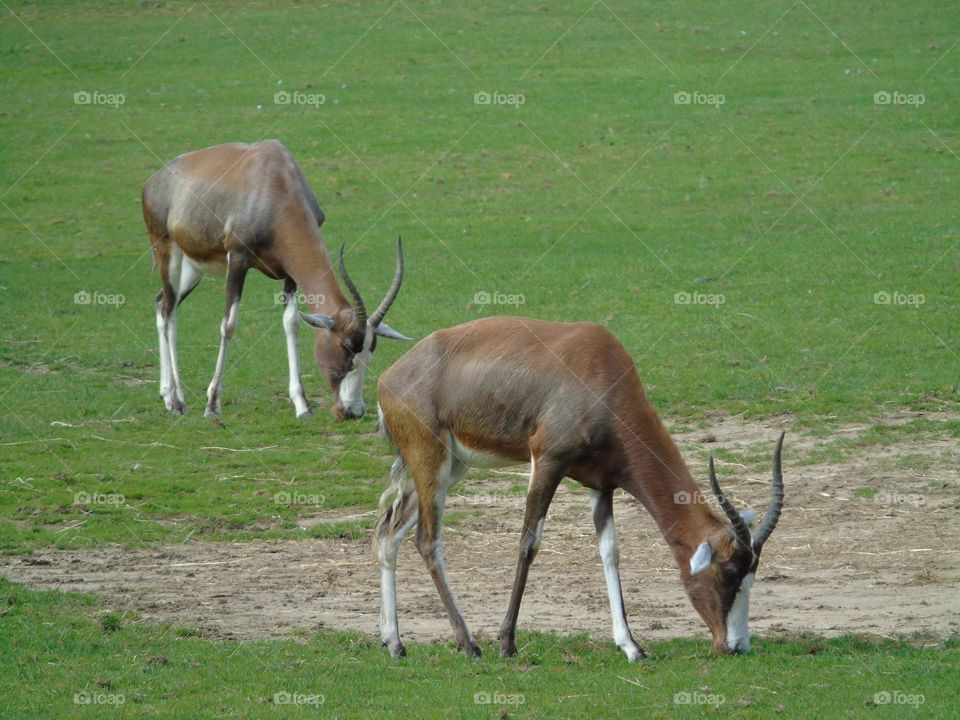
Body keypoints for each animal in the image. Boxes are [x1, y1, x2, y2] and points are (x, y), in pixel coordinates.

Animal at [142, 140, 408, 420]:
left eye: (371, 350)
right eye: (346, 347)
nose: (353, 411)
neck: (273, 179)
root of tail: (155, 180)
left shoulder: (289, 273)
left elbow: (291, 323)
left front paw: (302, 405)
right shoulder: (237, 260)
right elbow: (229, 325)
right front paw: (212, 405)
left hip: (194, 268)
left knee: (161, 303)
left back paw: (167, 395)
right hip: (167, 251)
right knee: (170, 311)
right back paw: (178, 401)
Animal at [372, 318, 784, 660]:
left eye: (752, 572)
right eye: (728, 572)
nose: (736, 646)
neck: (598, 366)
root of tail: (389, 377)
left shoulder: (601, 485)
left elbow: (610, 552)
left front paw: (631, 647)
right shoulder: (548, 461)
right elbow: (529, 544)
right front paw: (507, 644)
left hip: (449, 469)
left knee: (389, 531)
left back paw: (395, 644)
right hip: (431, 462)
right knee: (427, 541)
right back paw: (469, 645)